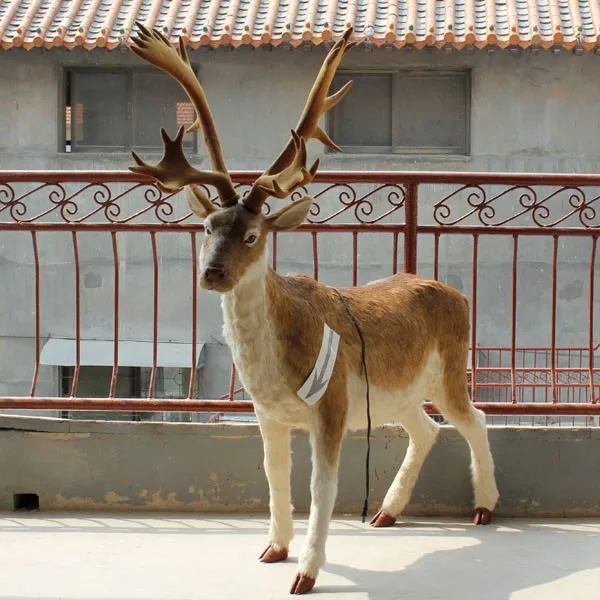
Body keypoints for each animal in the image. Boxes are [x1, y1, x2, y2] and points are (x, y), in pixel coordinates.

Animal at [129, 23, 500, 596]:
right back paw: (387, 512)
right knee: (426, 429)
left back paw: (484, 507)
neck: (277, 366)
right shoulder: (266, 413)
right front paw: (273, 549)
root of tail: (460, 295)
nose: (212, 273)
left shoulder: (333, 404)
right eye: (208, 227)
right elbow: (274, 477)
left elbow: (322, 487)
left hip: (452, 369)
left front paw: (306, 572)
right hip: (401, 392)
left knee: (475, 418)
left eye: (253, 235)